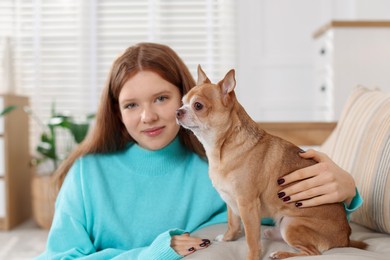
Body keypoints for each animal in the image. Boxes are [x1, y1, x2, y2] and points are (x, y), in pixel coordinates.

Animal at [176, 66, 366, 258]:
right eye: (182, 102)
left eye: (198, 106)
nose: (178, 111)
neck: (220, 149)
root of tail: (345, 239)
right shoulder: (231, 201)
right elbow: (233, 223)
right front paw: (227, 238)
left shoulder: (247, 204)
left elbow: (252, 239)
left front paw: (252, 257)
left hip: (291, 224)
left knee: (313, 253)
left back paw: (281, 254)